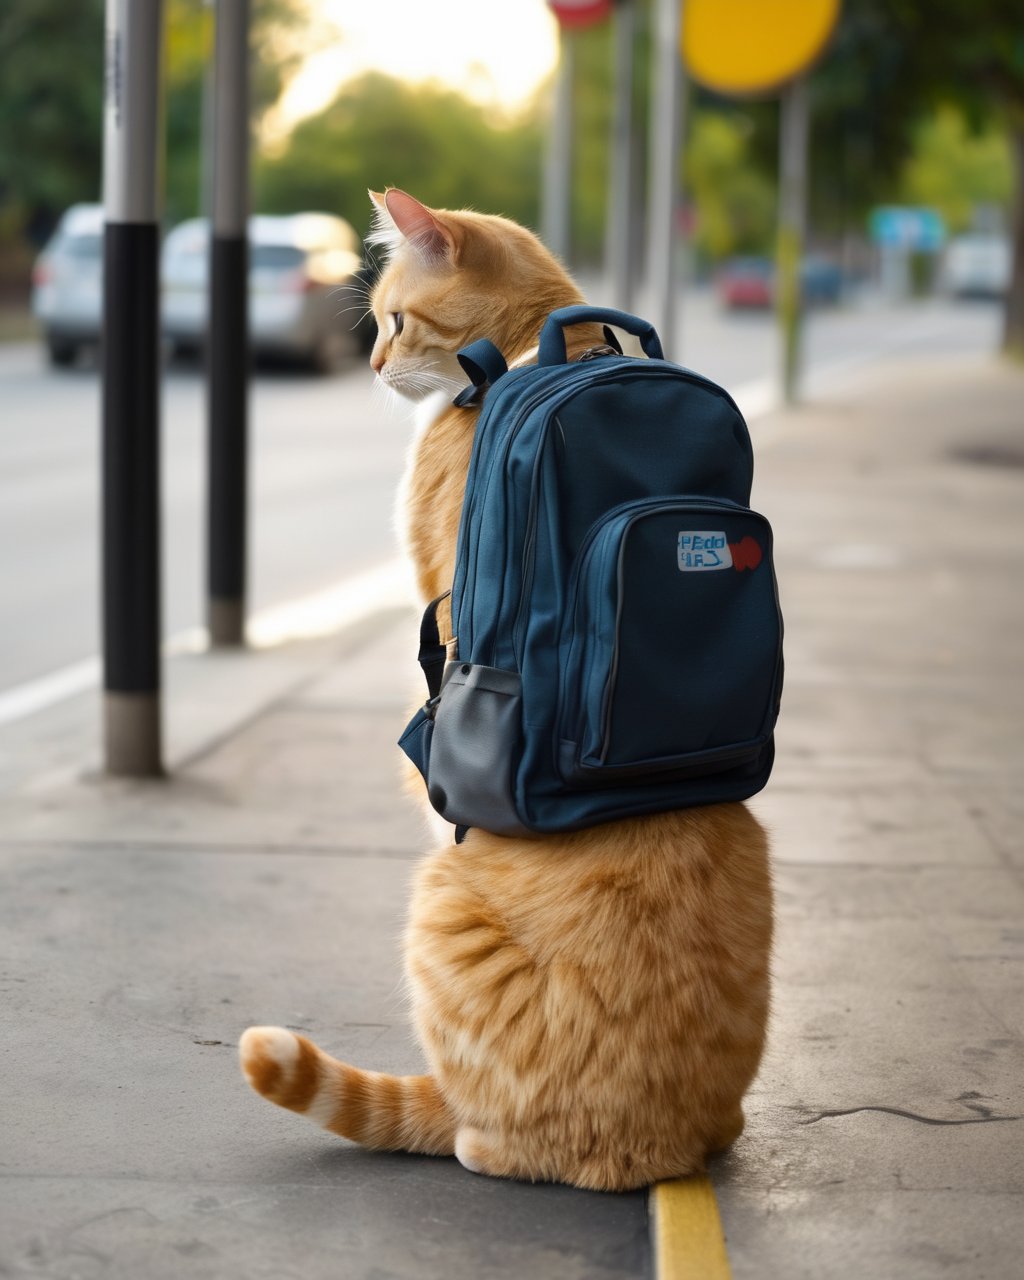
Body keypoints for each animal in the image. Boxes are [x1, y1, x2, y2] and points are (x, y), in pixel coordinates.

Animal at [238, 186, 768, 1187]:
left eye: (394, 321)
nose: (370, 366)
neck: (525, 353)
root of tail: (658, 1151)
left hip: (441, 909)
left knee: (490, 1133)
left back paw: (476, 1139)